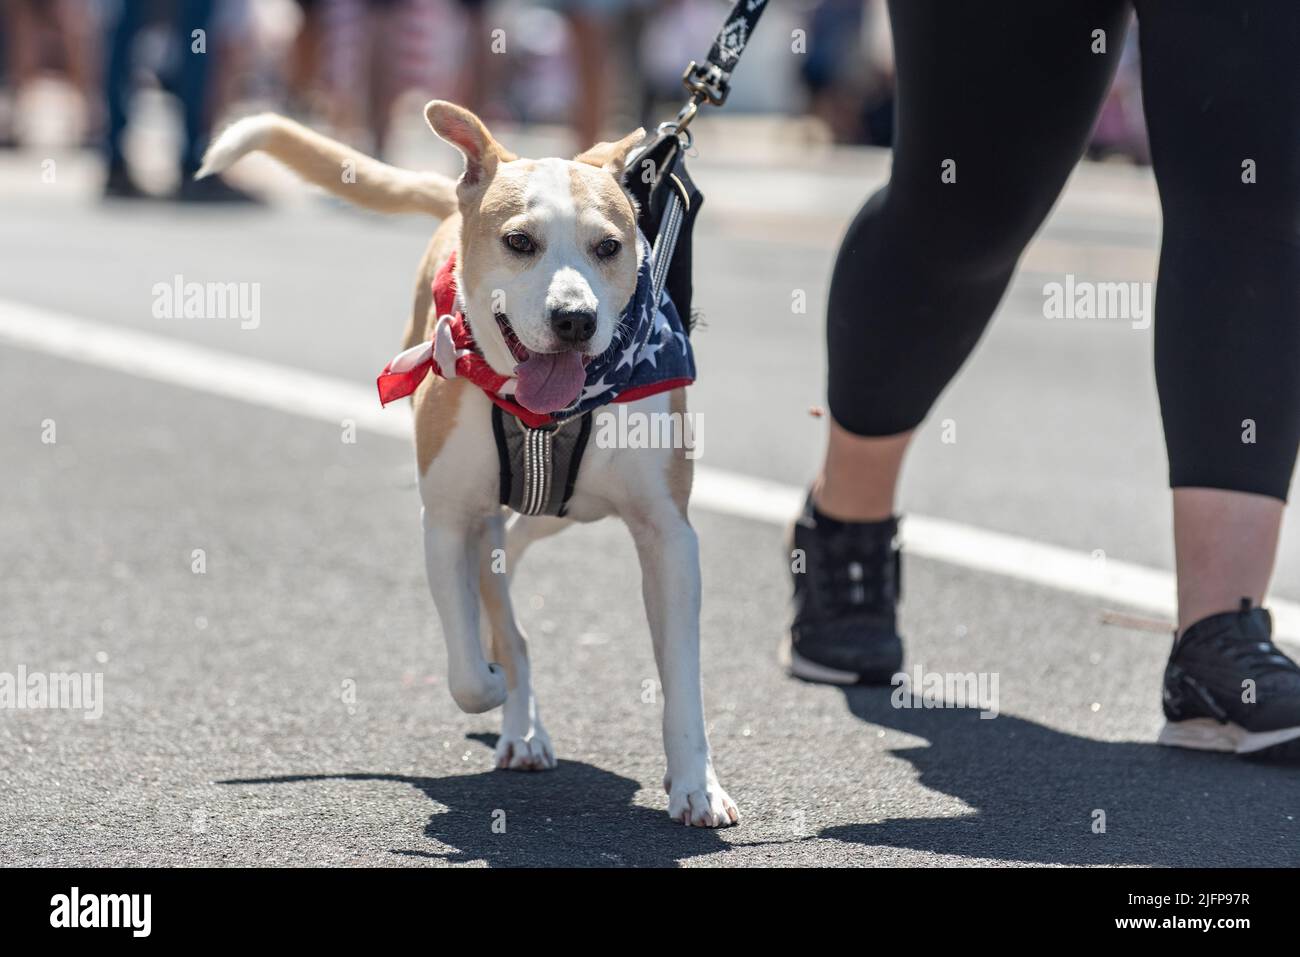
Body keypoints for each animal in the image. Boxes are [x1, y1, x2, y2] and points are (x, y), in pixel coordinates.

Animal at [196, 100, 738, 826]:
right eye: (520, 242)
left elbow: (682, 675)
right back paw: (520, 722)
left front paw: (697, 785)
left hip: (558, 514)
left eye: (608, 247)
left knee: (513, 558)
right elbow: (466, 670)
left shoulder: (668, 535)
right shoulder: (448, 519)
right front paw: (494, 683)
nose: (574, 319)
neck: (546, 413)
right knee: (501, 607)